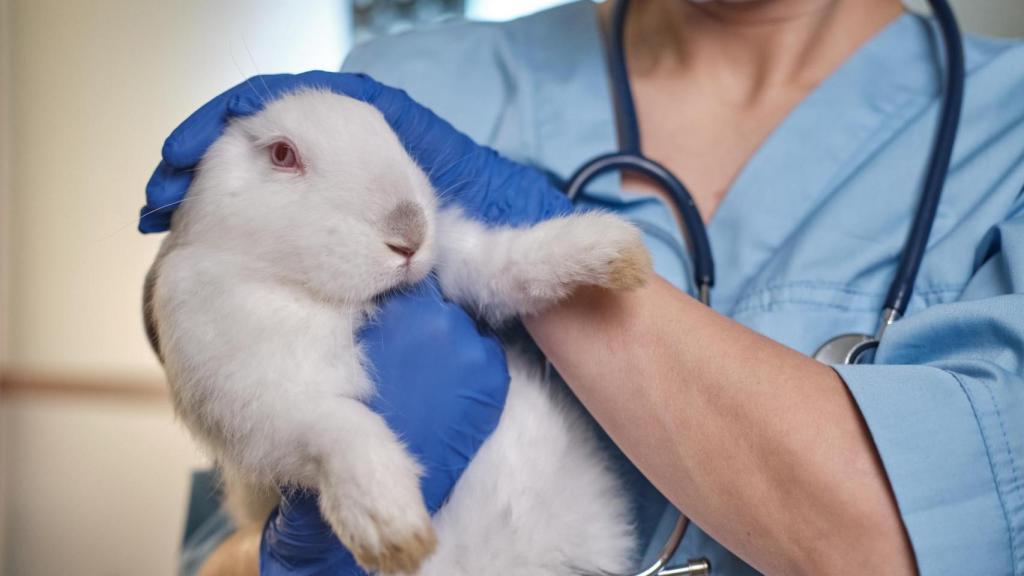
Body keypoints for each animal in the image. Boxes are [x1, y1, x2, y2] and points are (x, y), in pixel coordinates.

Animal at [144, 88, 651, 575]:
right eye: (283, 154)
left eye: (390, 132)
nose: (411, 234)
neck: (330, 299)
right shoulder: (262, 403)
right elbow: (338, 426)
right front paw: (392, 529)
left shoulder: (464, 264)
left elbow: (508, 263)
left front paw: (616, 250)